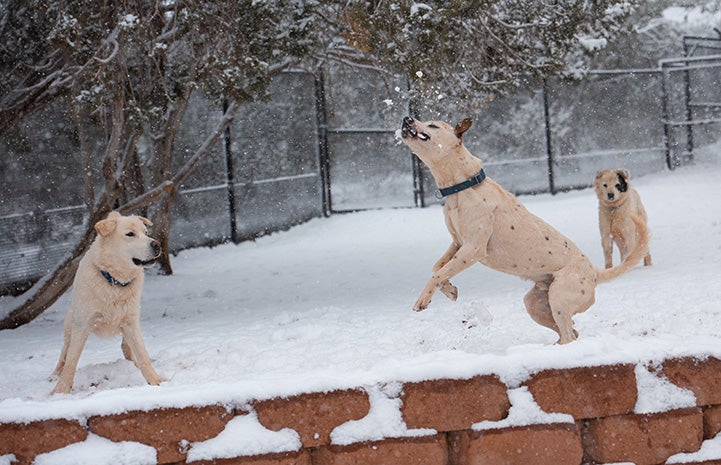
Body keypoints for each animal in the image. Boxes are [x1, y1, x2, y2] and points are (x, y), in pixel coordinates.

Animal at [50, 212, 165, 394]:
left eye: (146, 232)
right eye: (130, 234)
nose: (157, 244)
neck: (114, 282)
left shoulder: (131, 323)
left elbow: (143, 354)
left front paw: (155, 380)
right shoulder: (82, 326)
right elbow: (71, 361)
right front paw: (60, 390)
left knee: (126, 347)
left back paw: (134, 365)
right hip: (70, 325)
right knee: (64, 352)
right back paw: (55, 375)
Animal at [400, 117, 648, 340]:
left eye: (432, 125)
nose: (407, 118)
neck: (463, 187)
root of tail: (594, 272)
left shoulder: (472, 249)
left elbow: (438, 272)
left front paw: (422, 300)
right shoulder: (457, 243)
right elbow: (437, 268)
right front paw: (450, 290)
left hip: (559, 296)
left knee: (569, 335)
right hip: (535, 304)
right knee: (571, 333)